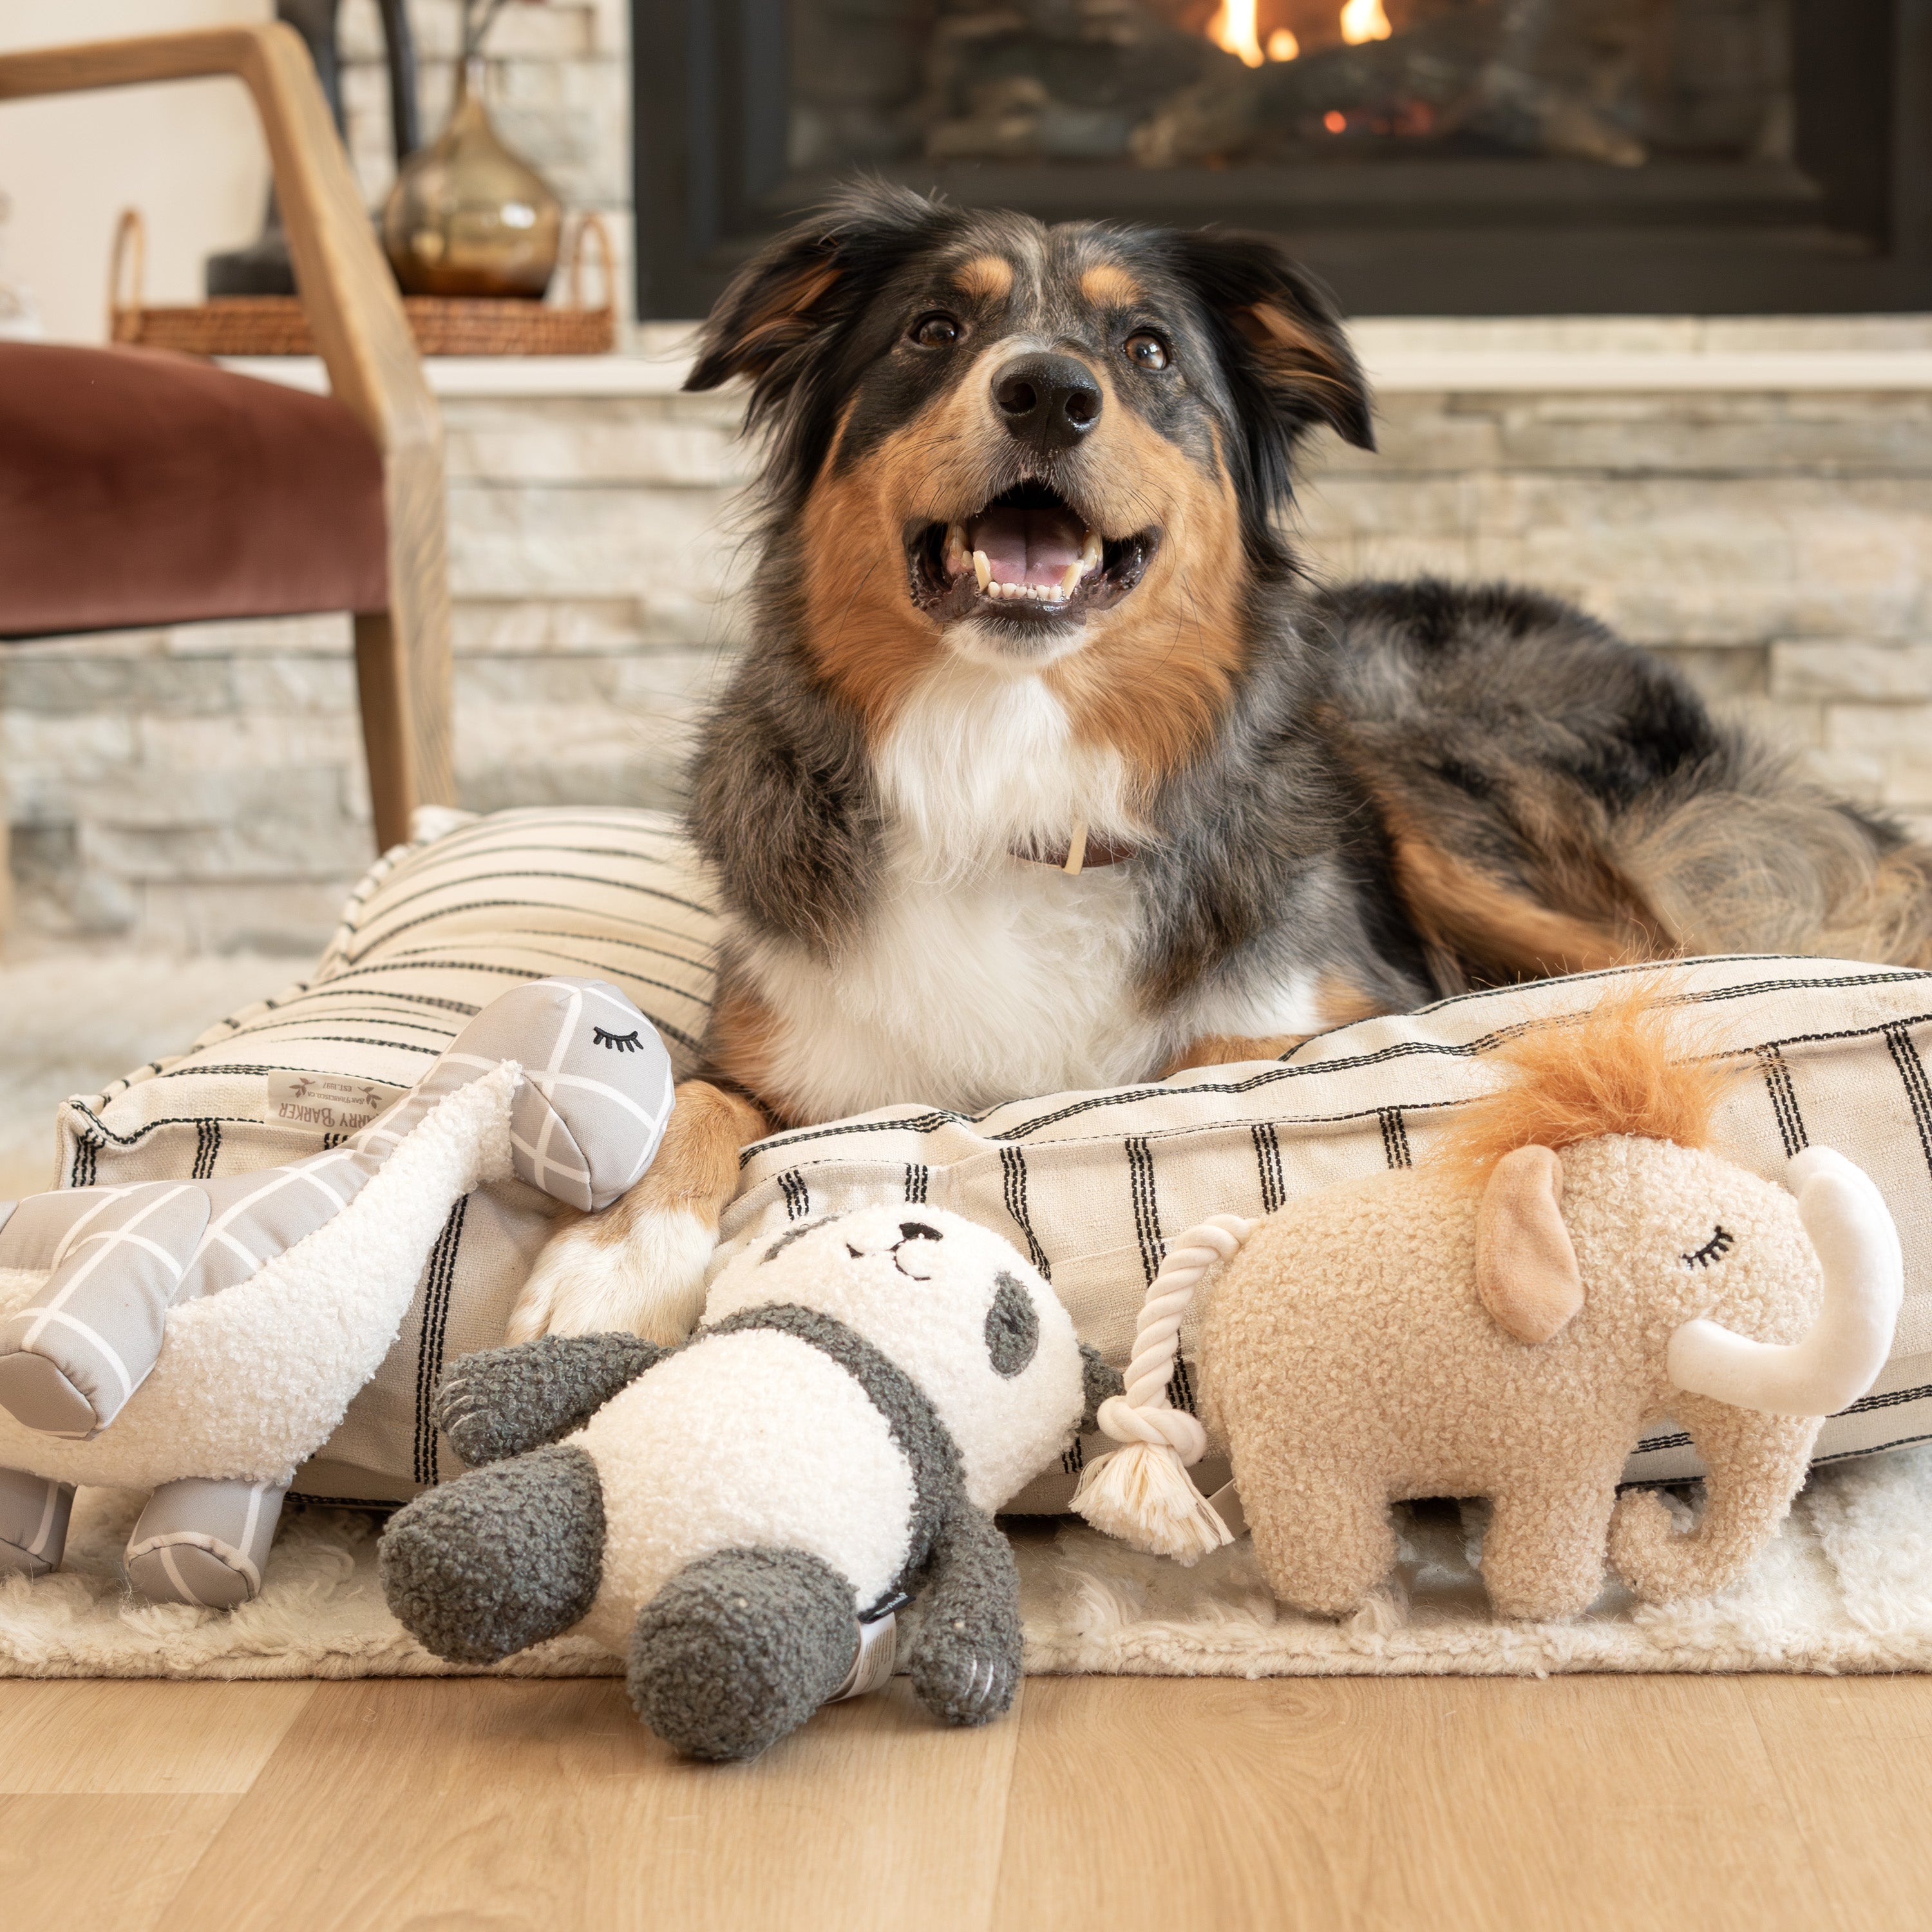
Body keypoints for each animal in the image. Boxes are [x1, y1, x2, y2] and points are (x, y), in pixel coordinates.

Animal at [506, 188, 1932, 1352]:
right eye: (932, 330)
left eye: (1147, 351)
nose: (1049, 392)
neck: (1010, 754)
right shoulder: (773, 1034)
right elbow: (697, 1101)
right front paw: (613, 1258)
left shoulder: (1333, 1006)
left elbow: (1207, 1067)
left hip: (1432, 778)